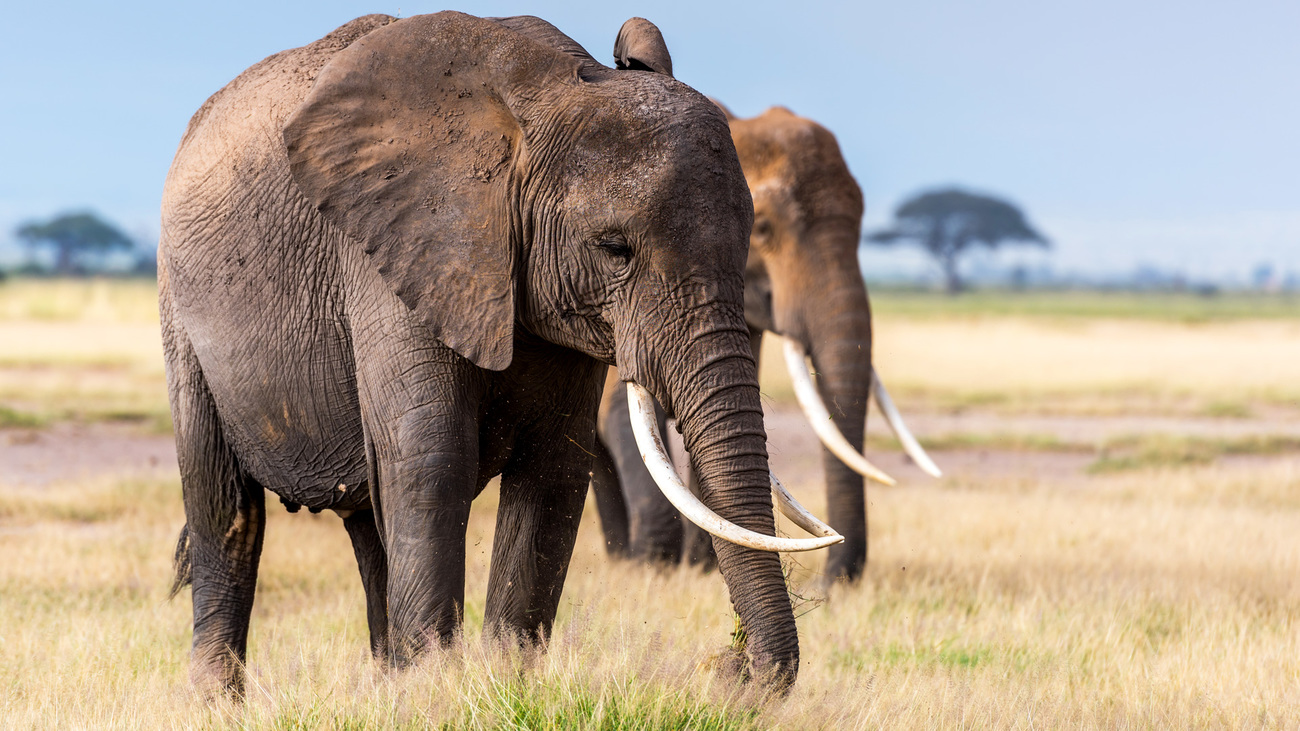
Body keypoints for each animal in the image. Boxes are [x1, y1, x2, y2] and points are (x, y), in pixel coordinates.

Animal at [157, 9, 837, 691]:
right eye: (614, 248)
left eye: (751, 238)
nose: (731, 666)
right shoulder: (395, 257)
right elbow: (432, 463)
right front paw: (437, 690)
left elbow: (553, 471)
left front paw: (502, 683)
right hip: (180, 313)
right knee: (226, 511)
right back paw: (219, 698)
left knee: (370, 518)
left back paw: (385, 683)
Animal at [590, 35, 935, 580]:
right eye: (766, 229)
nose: (836, 583)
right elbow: (621, 412)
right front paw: (658, 567)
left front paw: (702, 569)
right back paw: (632, 559)